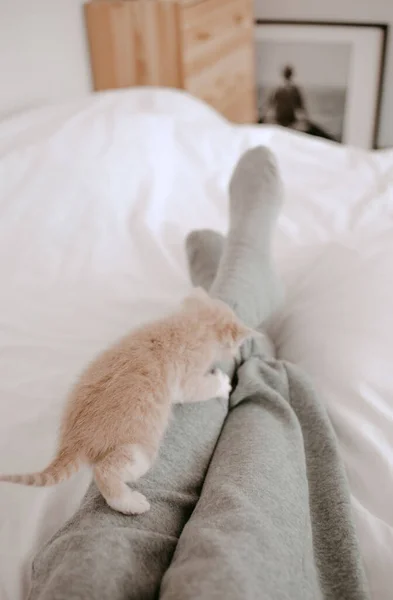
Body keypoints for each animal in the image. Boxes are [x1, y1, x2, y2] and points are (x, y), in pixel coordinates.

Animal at [0, 288, 254, 512]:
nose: (237, 354)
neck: (193, 323)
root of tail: (74, 440)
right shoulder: (189, 375)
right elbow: (195, 389)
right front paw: (222, 384)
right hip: (139, 448)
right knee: (104, 471)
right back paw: (128, 503)